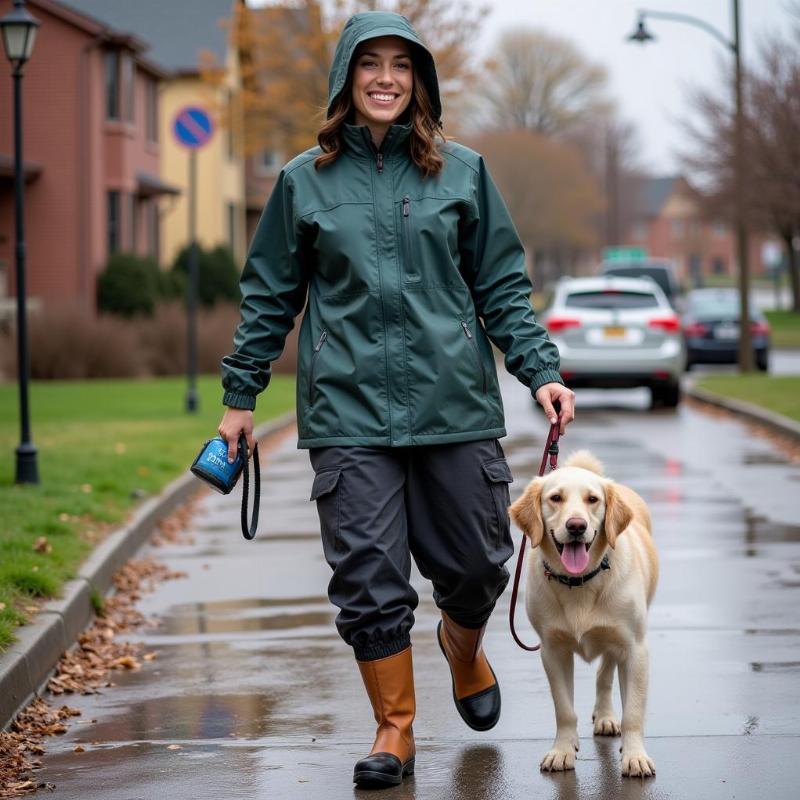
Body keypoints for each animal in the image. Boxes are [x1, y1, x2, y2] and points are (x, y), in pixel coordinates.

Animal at [512, 454, 656, 780]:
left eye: (593, 499)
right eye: (555, 498)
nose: (576, 526)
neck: (579, 582)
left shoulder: (635, 649)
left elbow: (634, 711)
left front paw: (635, 756)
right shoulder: (552, 650)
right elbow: (564, 709)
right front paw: (562, 751)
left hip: (619, 638)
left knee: (606, 673)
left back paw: (606, 717)